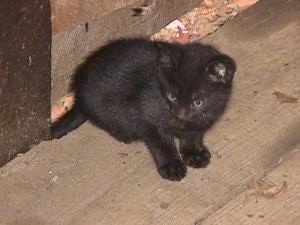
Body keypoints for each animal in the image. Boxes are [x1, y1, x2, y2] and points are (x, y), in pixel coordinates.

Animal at [53, 38, 237, 181]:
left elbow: (193, 135)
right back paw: (126, 135)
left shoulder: (202, 119)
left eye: (197, 102)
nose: (179, 113)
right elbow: (162, 144)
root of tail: (79, 97)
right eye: (172, 96)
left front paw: (194, 153)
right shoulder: (148, 118)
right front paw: (172, 166)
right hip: (103, 105)